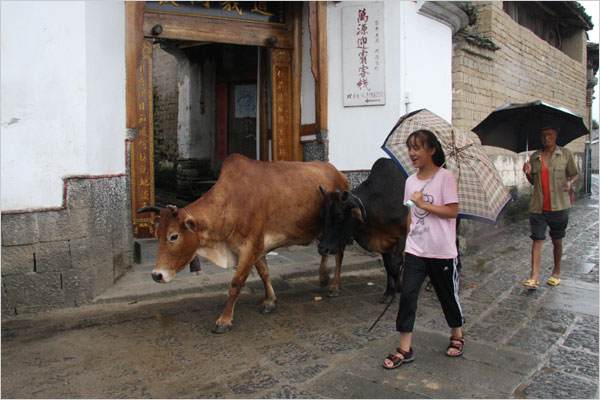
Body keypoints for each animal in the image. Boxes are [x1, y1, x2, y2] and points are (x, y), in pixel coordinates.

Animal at [138, 155, 350, 332]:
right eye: (156, 234)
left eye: (173, 236)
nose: (156, 275)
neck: (231, 203)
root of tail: (339, 173)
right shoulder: (258, 247)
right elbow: (264, 274)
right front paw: (269, 301)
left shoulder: (250, 247)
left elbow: (236, 283)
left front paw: (224, 320)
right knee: (323, 250)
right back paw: (323, 277)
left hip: (337, 229)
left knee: (339, 254)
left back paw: (334, 287)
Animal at [318, 158, 408, 302]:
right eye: (322, 214)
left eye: (339, 215)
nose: (323, 248)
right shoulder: (384, 241)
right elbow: (388, 266)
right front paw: (389, 293)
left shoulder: (404, 236)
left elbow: (395, 265)